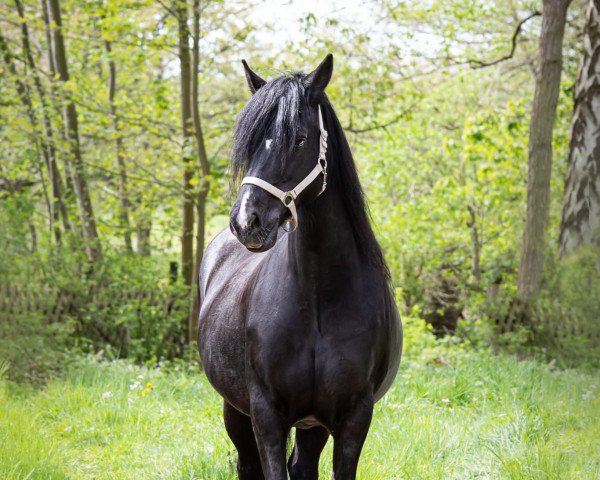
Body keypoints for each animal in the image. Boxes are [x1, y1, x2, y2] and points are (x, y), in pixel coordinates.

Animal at [199, 54, 400, 478]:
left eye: (300, 139)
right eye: (251, 142)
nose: (247, 222)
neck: (319, 297)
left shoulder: (354, 419)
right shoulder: (265, 415)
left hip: (312, 425)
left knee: (303, 465)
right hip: (235, 411)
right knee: (248, 465)